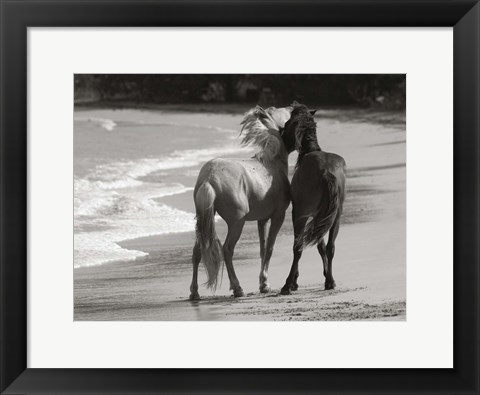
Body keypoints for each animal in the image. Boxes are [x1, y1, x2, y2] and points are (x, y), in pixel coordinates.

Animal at [189, 106, 290, 300]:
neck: (271, 163)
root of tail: (209, 177)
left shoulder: (262, 219)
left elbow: (263, 248)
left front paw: (263, 283)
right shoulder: (277, 215)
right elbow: (270, 247)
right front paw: (264, 285)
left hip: (204, 220)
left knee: (197, 251)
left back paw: (194, 292)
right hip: (237, 223)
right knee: (227, 249)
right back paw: (237, 288)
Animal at [280, 102, 346, 294]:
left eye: (287, 123)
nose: (281, 137)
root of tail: (326, 172)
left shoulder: (300, 213)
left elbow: (302, 246)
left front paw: (294, 282)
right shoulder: (320, 216)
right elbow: (321, 245)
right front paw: (326, 275)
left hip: (301, 215)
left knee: (298, 248)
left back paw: (287, 284)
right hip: (335, 216)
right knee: (331, 247)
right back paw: (330, 281)